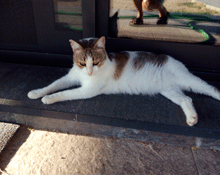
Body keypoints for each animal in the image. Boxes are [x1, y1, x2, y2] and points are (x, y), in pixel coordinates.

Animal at [27, 36, 220, 126]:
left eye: (95, 63)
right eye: (82, 63)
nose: (89, 72)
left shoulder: (87, 90)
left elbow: (64, 93)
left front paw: (49, 99)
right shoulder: (70, 77)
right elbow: (53, 84)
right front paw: (36, 93)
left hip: (188, 79)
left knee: (211, 89)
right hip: (169, 90)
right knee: (187, 98)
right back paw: (192, 118)